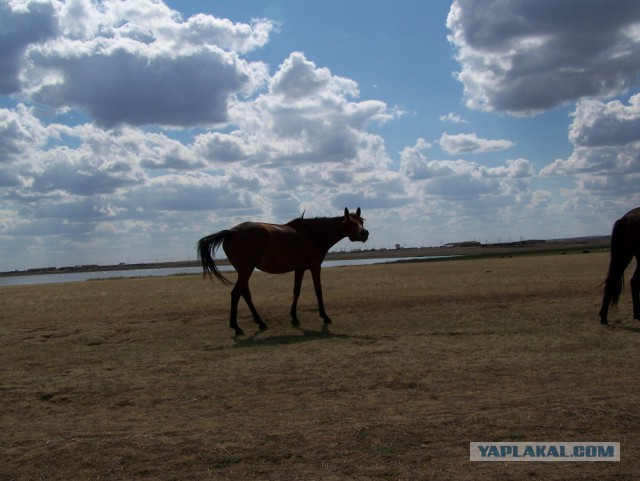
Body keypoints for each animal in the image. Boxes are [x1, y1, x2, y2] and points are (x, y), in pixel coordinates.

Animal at [196, 206, 370, 334]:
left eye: (361, 221)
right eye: (350, 222)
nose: (365, 233)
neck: (313, 234)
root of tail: (230, 232)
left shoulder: (300, 269)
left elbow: (296, 291)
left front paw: (294, 317)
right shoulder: (315, 267)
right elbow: (318, 290)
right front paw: (325, 316)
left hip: (244, 271)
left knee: (245, 294)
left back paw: (260, 322)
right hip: (246, 270)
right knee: (236, 294)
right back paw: (237, 327)